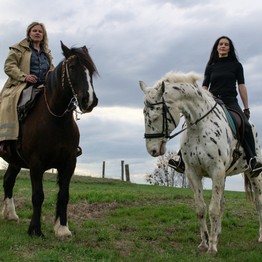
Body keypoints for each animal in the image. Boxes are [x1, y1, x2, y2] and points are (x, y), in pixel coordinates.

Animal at [1, 41, 99, 239]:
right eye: (72, 67)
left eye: (91, 70)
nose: (89, 100)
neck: (55, 118)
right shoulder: (36, 163)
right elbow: (38, 196)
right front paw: (35, 229)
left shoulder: (69, 162)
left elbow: (64, 195)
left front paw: (62, 229)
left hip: (14, 162)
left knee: (8, 181)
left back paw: (11, 215)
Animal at [140, 71, 262, 254]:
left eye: (155, 116)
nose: (152, 150)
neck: (199, 126)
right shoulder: (193, 173)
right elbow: (201, 208)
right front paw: (205, 242)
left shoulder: (216, 172)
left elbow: (213, 209)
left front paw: (212, 247)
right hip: (225, 177)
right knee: (223, 203)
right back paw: (217, 233)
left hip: (254, 175)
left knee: (259, 203)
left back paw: (260, 237)